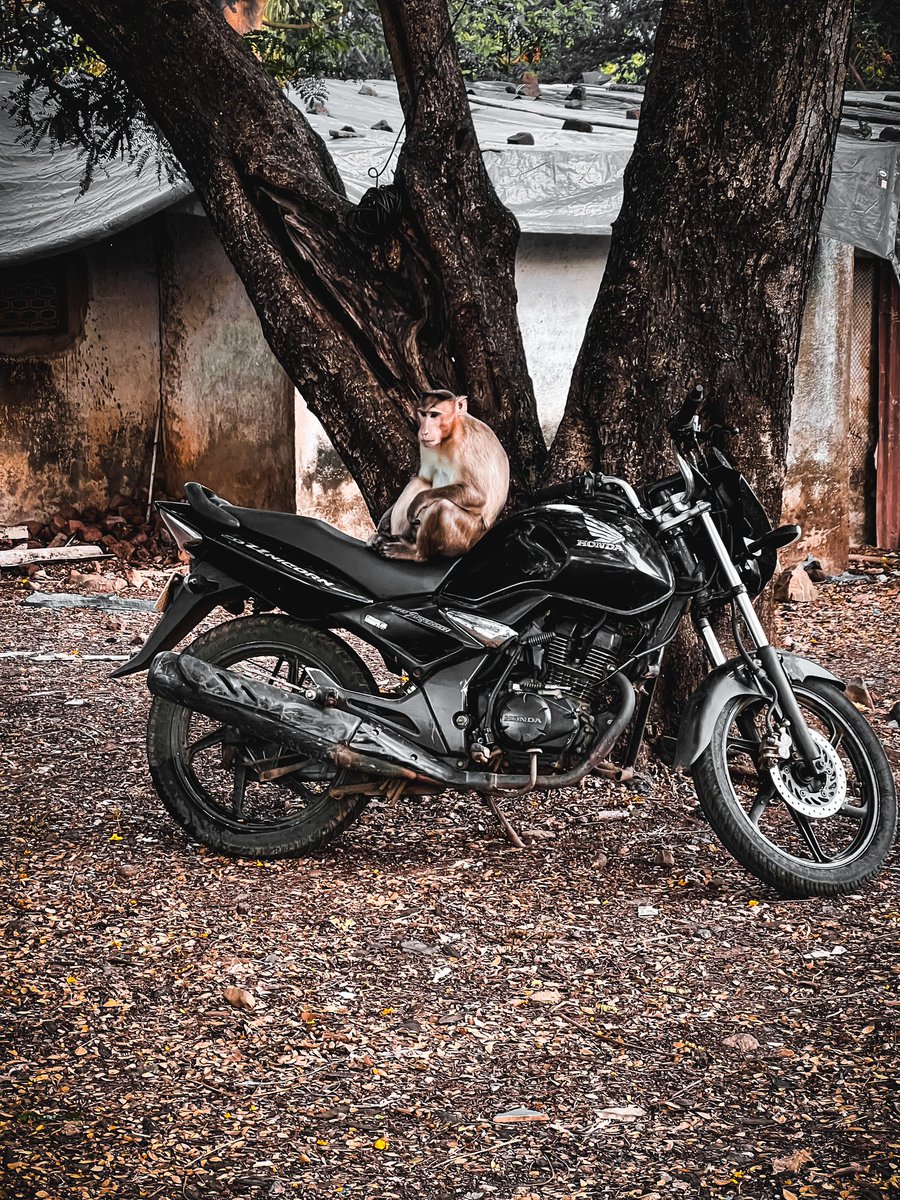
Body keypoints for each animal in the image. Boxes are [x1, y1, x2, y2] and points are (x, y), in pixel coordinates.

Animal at [372, 391, 511, 564]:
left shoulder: (469, 447)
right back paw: (400, 538)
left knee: (442, 507)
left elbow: (479, 496)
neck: (450, 435)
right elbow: (426, 479)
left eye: (434, 415)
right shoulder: (425, 445)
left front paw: (421, 499)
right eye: (423, 414)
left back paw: (417, 553)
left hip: (467, 539)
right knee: (419, 482)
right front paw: (384, 522)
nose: (423, 431)